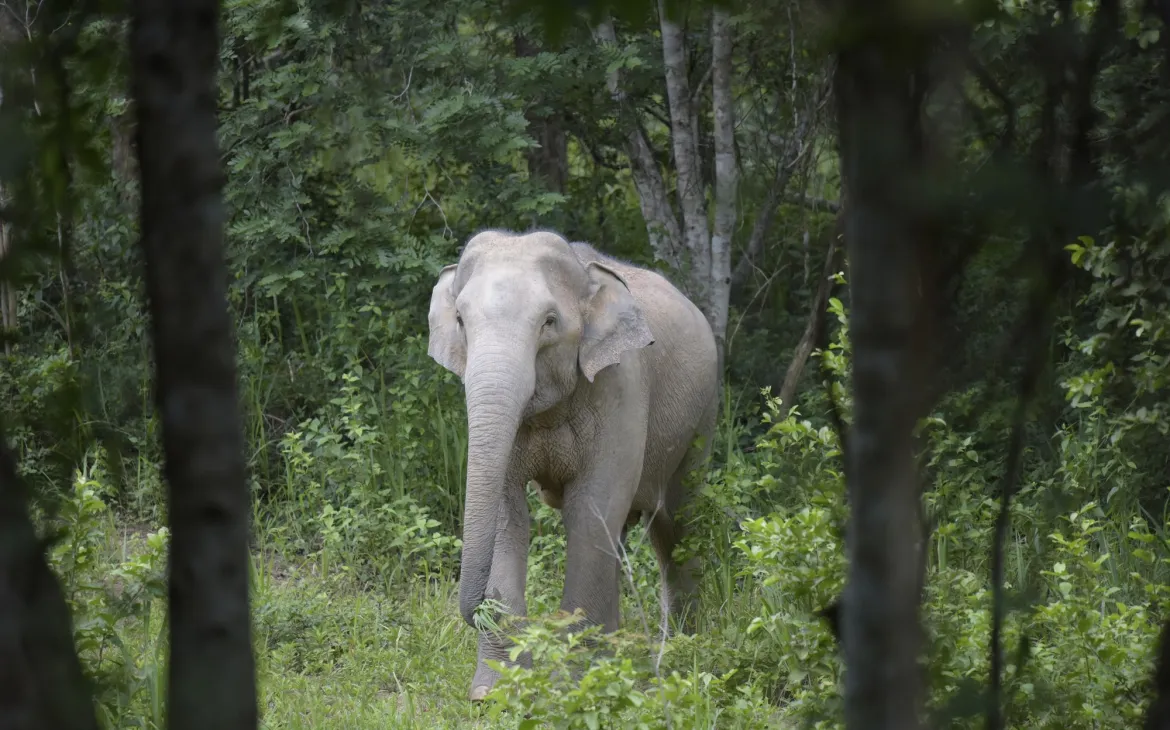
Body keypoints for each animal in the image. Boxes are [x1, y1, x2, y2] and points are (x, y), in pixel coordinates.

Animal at [426, 229, 719, 702]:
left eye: (549, 322)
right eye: (460, 322)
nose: (479, 608)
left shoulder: (620, 386)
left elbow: (590, 508)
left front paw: (577, 691)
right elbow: (508, 511)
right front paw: (495, 693)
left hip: (703, 414)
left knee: (675, 521)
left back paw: (677, 652)